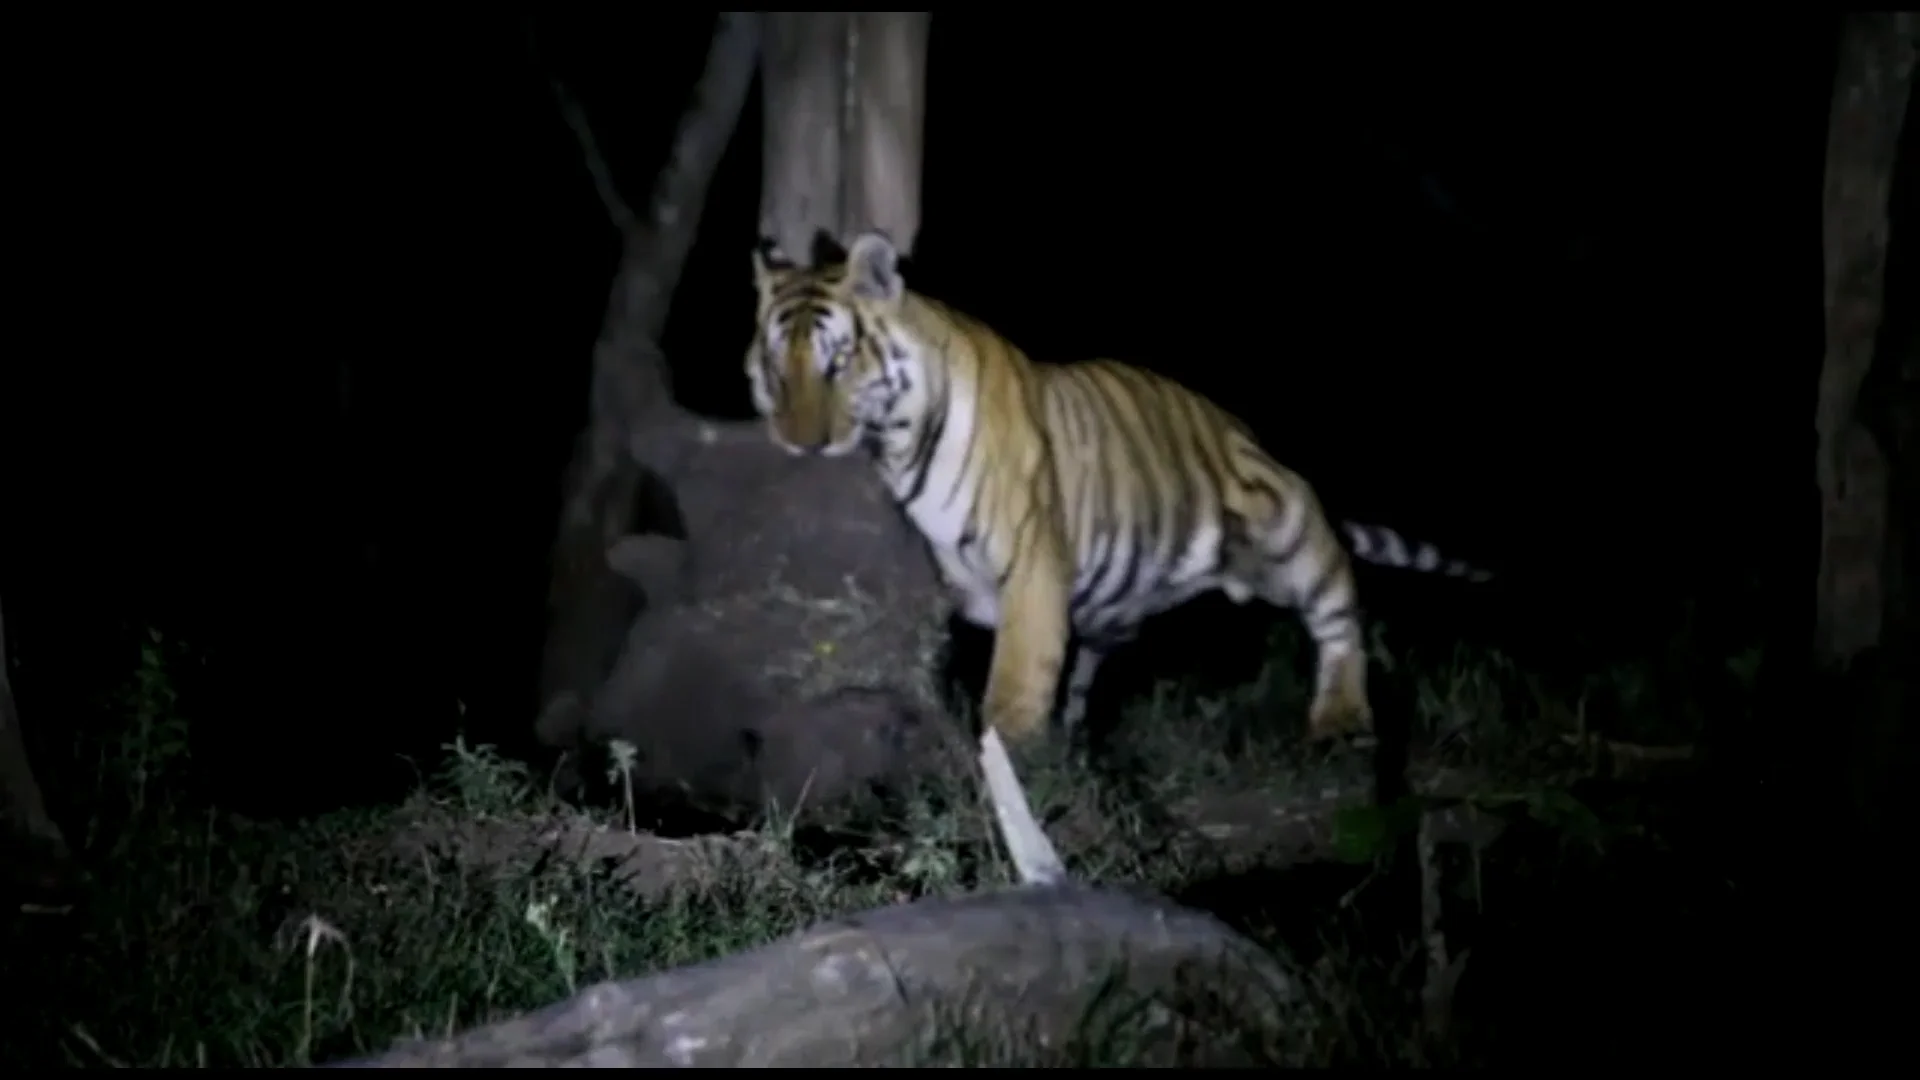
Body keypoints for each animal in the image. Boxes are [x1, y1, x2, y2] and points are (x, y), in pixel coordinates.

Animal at [745, 230, 1491, 756]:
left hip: (1288, 527)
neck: (899, 445)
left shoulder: (1032, 559)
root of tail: (1244, 434)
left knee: (1340, 612)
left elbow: (1015, 685)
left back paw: (1340, 717)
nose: (800, 443)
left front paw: (1011, 772)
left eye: (840, 362)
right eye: (777, 369)